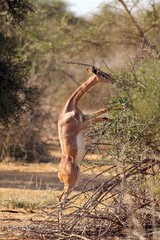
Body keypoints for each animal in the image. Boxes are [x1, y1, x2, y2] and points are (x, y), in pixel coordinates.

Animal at [58, 66, 115, 201]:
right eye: (102, 74)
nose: (113, 80)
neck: (68, 109)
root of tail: (59, 172)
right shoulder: (81, 126)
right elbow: (102, 117)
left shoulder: (84, 117)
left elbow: (104, 110)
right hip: (70, 183)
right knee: (61, 198)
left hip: (75, 180)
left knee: (62, 198)